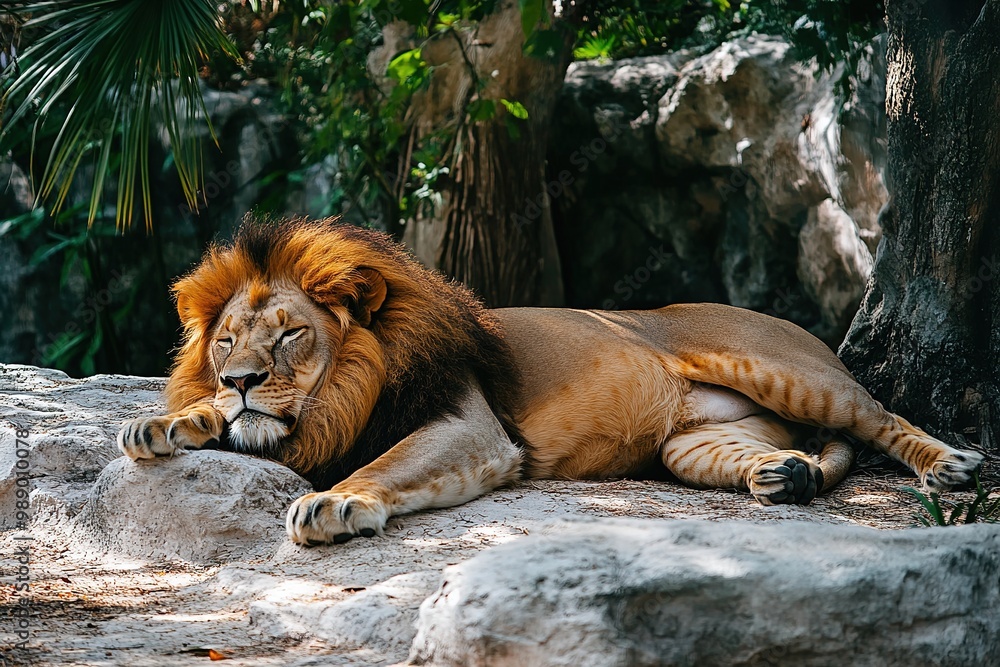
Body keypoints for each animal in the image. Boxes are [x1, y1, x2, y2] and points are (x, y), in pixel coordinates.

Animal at [118, 216, 984, 546]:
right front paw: (164, 422)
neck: (344, 386)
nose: (239, 377)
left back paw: (953, 464)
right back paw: (785, 475)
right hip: (693, 443)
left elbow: (383, 462)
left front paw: (334, 500)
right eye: (227, 338)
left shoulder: (471, 424)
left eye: (291, 332)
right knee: (786, 453)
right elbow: (223, 424)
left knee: (882, 416)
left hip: (792, 372)